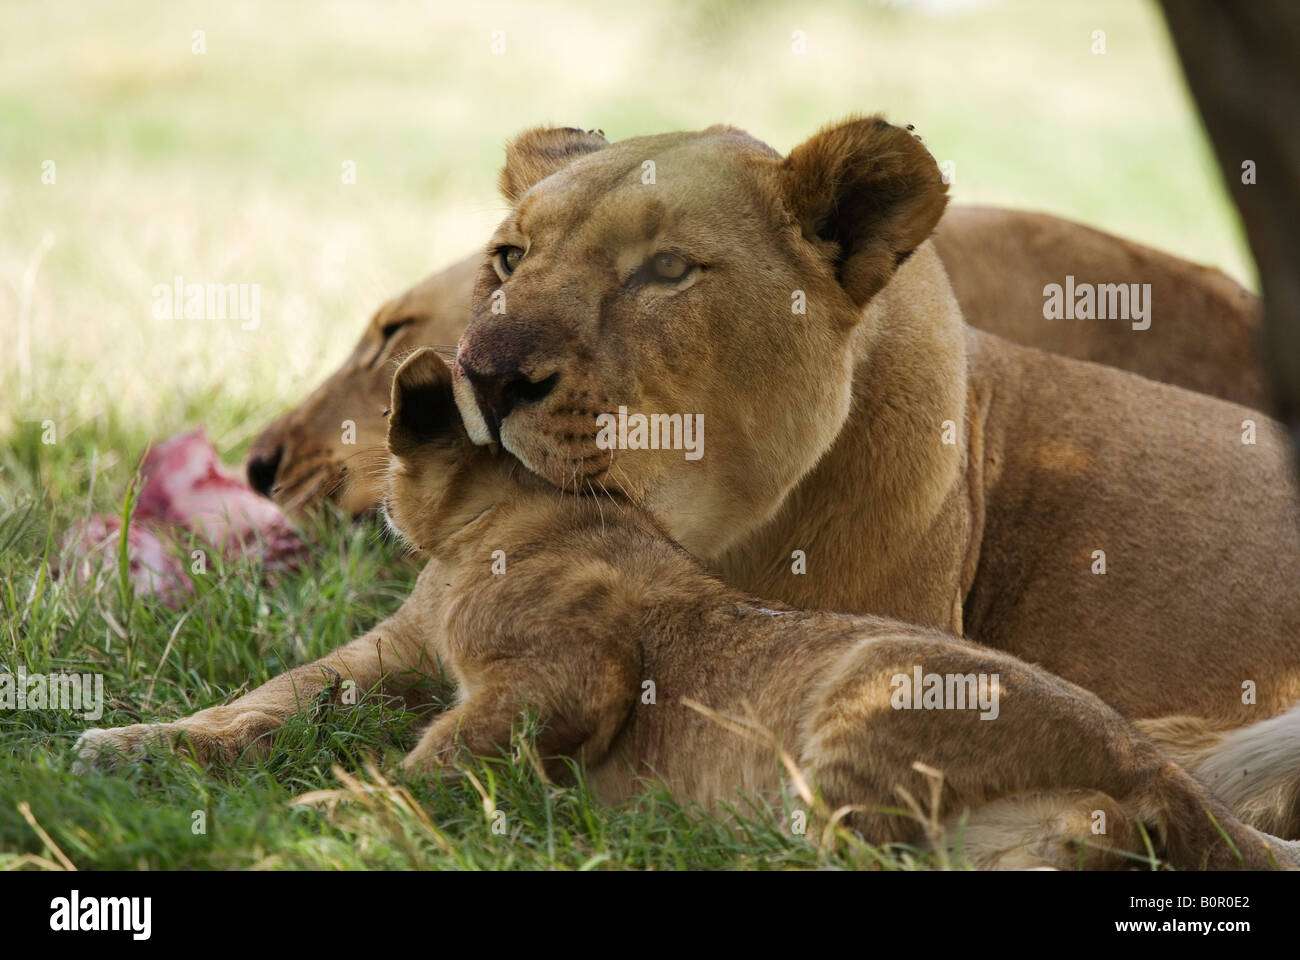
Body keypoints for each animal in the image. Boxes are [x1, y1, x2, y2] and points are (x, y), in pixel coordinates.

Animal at [76, 348, 1293, 870]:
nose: (268, 469)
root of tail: (1154, 769)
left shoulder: (570, 677)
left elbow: (439, 764)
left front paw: (327, 812)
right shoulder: (393, 658)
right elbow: (267, 698)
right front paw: (129, 744)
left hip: (857, 707)